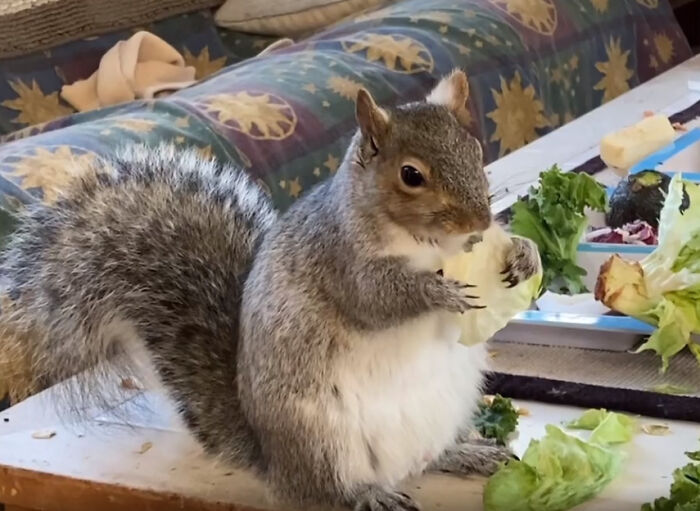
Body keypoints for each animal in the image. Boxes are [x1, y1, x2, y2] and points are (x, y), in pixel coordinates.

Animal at [0, 69, 540, 510]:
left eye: (475, 149)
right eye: (411, 175)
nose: (480, 222)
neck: (428, 244)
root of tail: (272, 461)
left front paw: (525, 253)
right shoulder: (339, 259)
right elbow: (376, 297)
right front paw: (439, 293)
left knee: (429, 457)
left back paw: (467, 453)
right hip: (321, 440)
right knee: (328, 491)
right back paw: (370, 494)